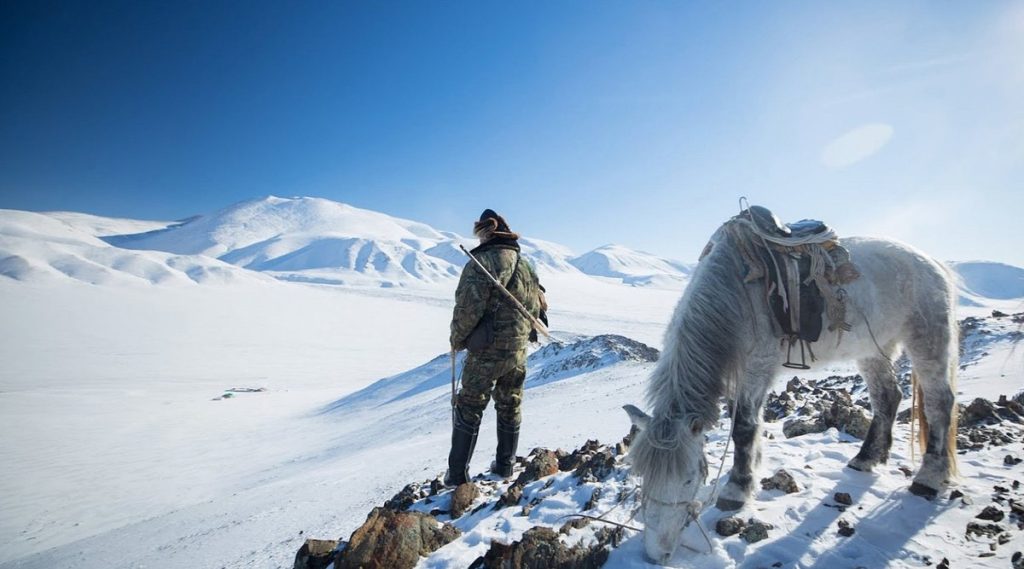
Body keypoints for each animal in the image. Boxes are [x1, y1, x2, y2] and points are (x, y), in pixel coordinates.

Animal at [622, 214, 958, 564]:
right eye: (642, 474)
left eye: (688, 478)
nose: (655, 554)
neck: (734, 294)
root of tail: (935, 265)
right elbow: (747, 424)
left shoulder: (757, 368)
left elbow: (743, 427)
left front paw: (736, 490)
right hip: (872, 350)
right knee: (887, 397)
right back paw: (866, 458)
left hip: (927, 340)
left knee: (939, 402)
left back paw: (928, 480)